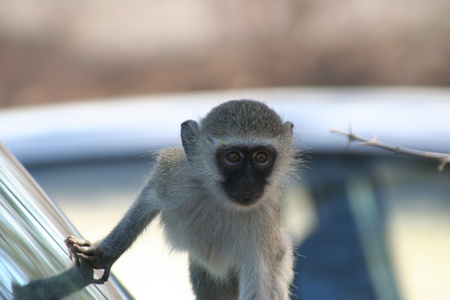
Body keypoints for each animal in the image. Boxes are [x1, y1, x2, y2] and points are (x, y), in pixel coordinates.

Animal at [66, 99, 298, 298]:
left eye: (261, 157)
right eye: (233, 157)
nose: (248, 182)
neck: (219, 200)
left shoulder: (264, 230)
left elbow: (259, 288)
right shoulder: (175, 176)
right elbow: (148, 197)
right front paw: (104, 254)